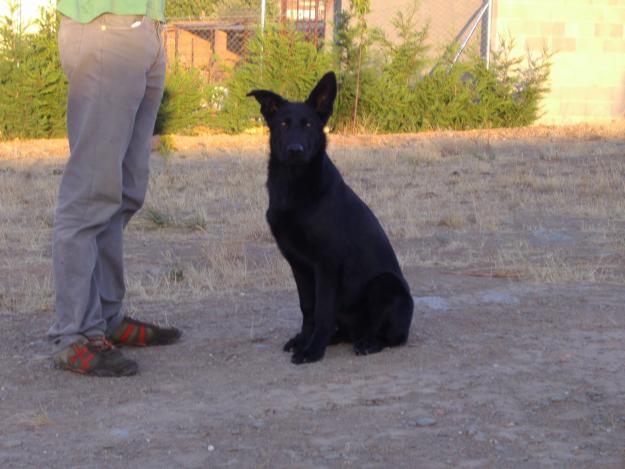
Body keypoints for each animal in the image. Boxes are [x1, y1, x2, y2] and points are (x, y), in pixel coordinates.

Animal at [249, 73, 414, 364]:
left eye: (308, 125)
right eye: (283, 124)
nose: (295, 150)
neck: (295, 186)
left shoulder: (327, 264)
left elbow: (322, 310)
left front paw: (312, 350)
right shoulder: (299, 265)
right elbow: (308, 308)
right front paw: (304, 340)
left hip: (385, 285)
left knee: (390, 337)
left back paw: (368, 343)